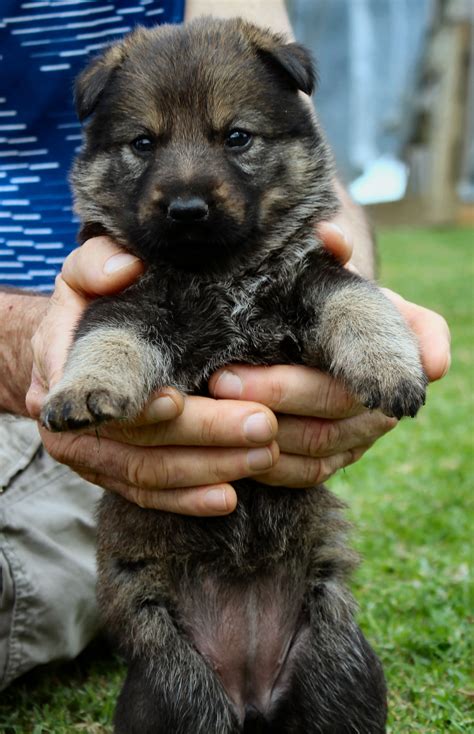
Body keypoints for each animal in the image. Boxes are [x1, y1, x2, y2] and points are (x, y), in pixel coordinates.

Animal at [41, 18, 426, 734]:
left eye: (237, 137)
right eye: (144, 143)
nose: (187, 208)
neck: (218, 275)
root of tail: (250, 693)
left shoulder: (313, 274)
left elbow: (359, 301)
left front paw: (390, 365)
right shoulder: (127, 298)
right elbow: (108, 338)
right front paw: (83, 387)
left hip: (339, 662)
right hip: (174, 692)